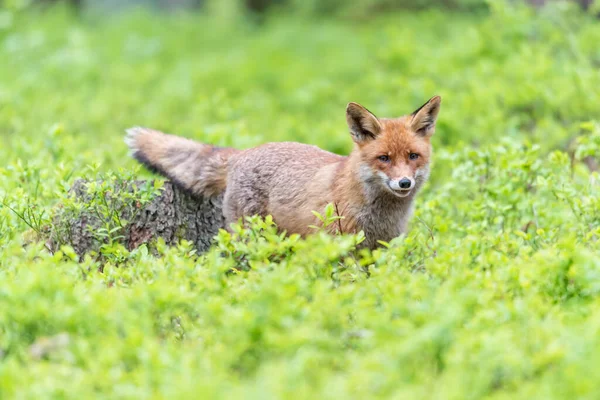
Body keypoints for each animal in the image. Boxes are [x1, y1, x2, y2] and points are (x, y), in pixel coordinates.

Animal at [125, 96, 440, 247]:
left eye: (413, 156)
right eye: (383, 158)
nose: (404, 183)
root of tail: (243, 153)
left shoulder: (381, 248)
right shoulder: (336, 244)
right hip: (253, 235)